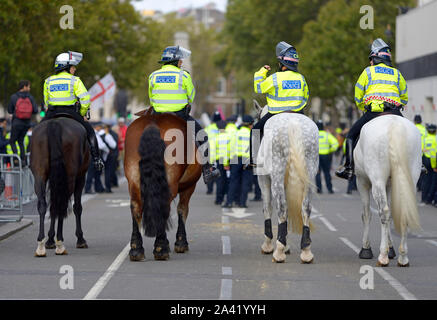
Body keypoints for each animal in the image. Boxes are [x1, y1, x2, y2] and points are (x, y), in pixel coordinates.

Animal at [30, 116, 89, 256]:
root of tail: (55, 123)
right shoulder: (81, 177)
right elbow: (77, 207)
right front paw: (80, 239)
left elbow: (52, 207)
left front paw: (50, 239)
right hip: (70, 177)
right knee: (62, 205)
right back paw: (60, 243)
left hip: (39, 175)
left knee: (44, 205)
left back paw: (41, 244)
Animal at [123, 109, 202, 260]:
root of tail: (153, 123)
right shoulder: (189, 187)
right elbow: (182, 210)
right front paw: (181, 242)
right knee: (163, 206)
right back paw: (161, 248)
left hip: (133, 178)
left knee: (135, 207)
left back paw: (136, 249)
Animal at [252, 102, 316, 262]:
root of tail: (293, 124)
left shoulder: (264, 180)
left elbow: (267, 208)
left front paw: (269, 245)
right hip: (309, 175)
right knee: (305, 208)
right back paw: (306, 251)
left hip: (276, 175)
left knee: (282, 209)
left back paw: (279, 252)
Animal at [354, 114, 422, 266]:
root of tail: (395, 126)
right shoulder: (390, 185)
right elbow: (392, 215)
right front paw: (391, 249)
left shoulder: (362, 181)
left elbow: (366, 214)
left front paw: (366, 249)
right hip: (410, 179)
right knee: (403, 211)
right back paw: (403, 257)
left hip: (377, 179)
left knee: (383, 212)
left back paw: (383, 256)